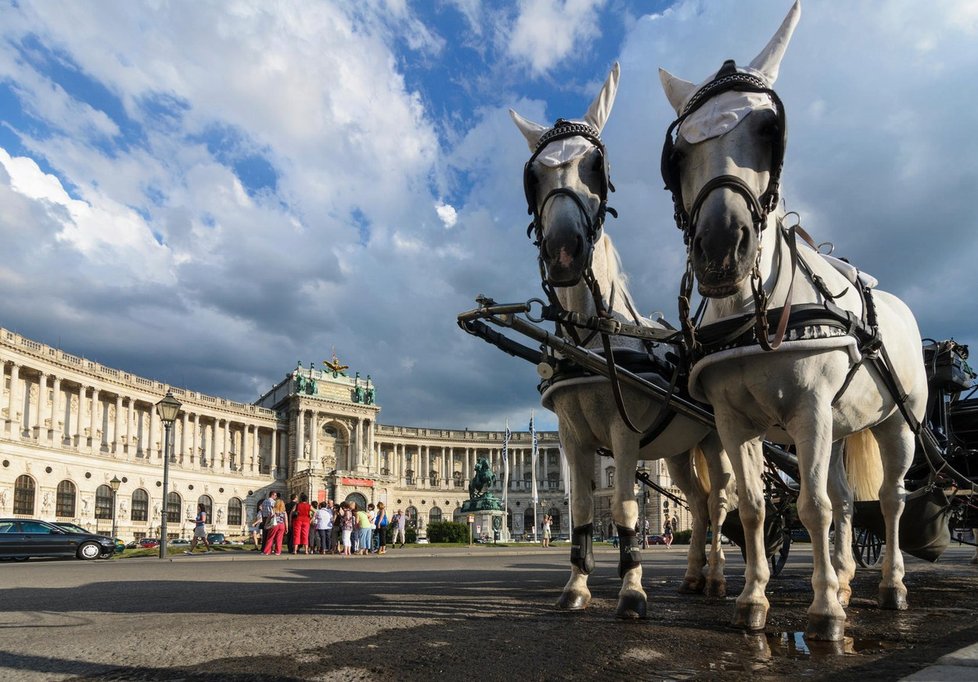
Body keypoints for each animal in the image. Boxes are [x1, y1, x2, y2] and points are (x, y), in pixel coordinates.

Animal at [510, 63, 732, 616]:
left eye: (597, 167)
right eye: (533, 175)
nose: (564, 249)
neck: (593, 340)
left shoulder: (625, 435)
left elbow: (630, 508)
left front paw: (632, 590)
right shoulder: (571, 437)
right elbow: (583, 510)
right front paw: (576, 587)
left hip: (716, 437)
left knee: (723, 500)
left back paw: (719, 577)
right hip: (677, 449)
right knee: (697, 503)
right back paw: (693, 577)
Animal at [656, 0, 924, 636]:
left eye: (767, 130)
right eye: (677, 154)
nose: (720, 250)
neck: (752, 316)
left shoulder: (808, 409)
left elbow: (810, 505)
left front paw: (824, 611)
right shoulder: (735, 421)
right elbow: (755, 506)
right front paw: (753, 598)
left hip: (895, 424)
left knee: (892, 500)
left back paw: (890, 586)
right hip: (840, 425)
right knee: (848, 498)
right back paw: (848, 578)